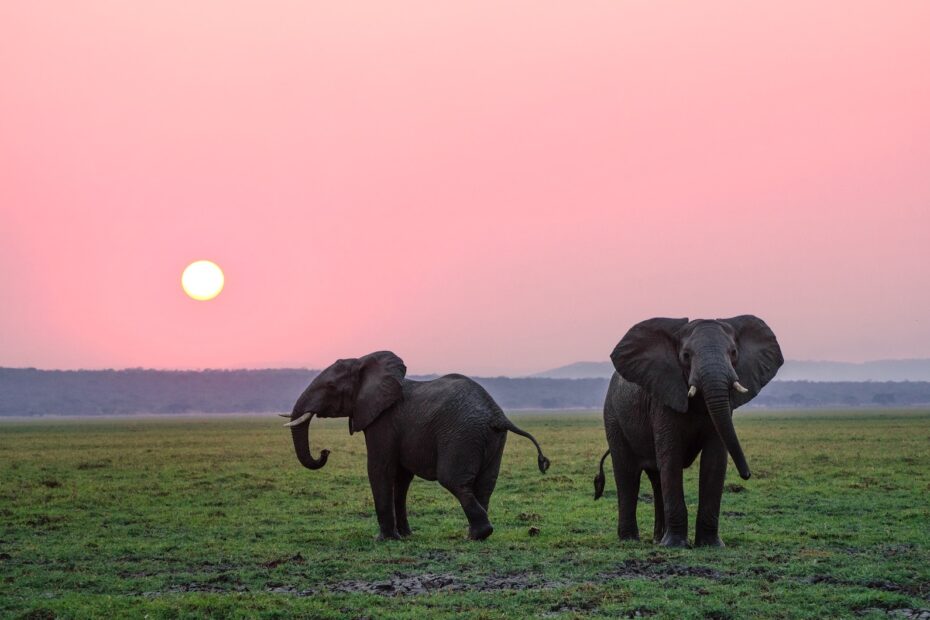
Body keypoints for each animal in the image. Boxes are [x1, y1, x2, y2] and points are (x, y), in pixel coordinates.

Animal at [280, 352, 548, 540]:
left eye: (330, 388)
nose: (325, 452)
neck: (365, 362)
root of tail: (497, 414)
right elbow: (401, 478)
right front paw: (406, 536)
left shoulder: (383, 421)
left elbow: (379, 469)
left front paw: (384, 539)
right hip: (492, 438)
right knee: (485, 484)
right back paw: (475, 535)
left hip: (462, 435)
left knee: (453, 480)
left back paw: (477, 535)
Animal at [592, 318, 780, 544]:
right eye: (686, 356)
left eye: (734, 353)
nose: (747, 474)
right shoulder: (663, 397)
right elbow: (671, 457)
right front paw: (676, 545)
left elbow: (714, 459)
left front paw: (710, 545)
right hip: (613, 417)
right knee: (628, 474)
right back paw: (630, 539)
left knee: (656, 478)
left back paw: (657, 539)